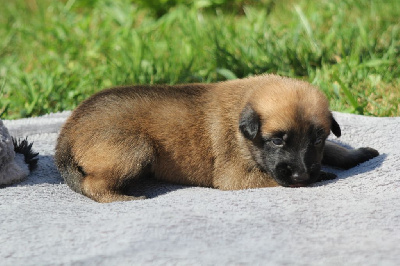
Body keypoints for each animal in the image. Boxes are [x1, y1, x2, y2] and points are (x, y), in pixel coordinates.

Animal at [54, 74, 380, 203]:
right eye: (277, 140)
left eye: (316, 140)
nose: (301, 174)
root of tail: (68, 131)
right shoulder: (236, 177)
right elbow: (272, 178)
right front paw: (321, 176)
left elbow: (334, 148)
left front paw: (354, 154)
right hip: (137, 149)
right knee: (93, 186)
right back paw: (123, 198)